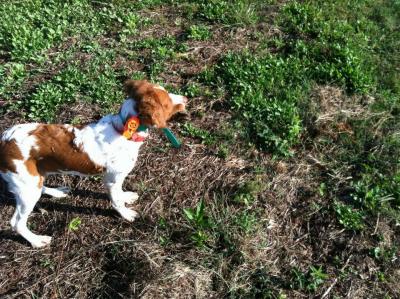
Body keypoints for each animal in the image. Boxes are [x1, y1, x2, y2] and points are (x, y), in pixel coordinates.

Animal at [0, 79, 188, 248]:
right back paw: (37, 241)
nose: (185, 99)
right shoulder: (112, 178)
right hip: (27, 187)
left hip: (34, 178)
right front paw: (126, 214)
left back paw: (57, 192)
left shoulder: (117, 178)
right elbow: (116, 200)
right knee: (16, 222)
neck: (123, 130)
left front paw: (126, 197)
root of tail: (4, 140)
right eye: (167, 102)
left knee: (41, 186)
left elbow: (120, 193)